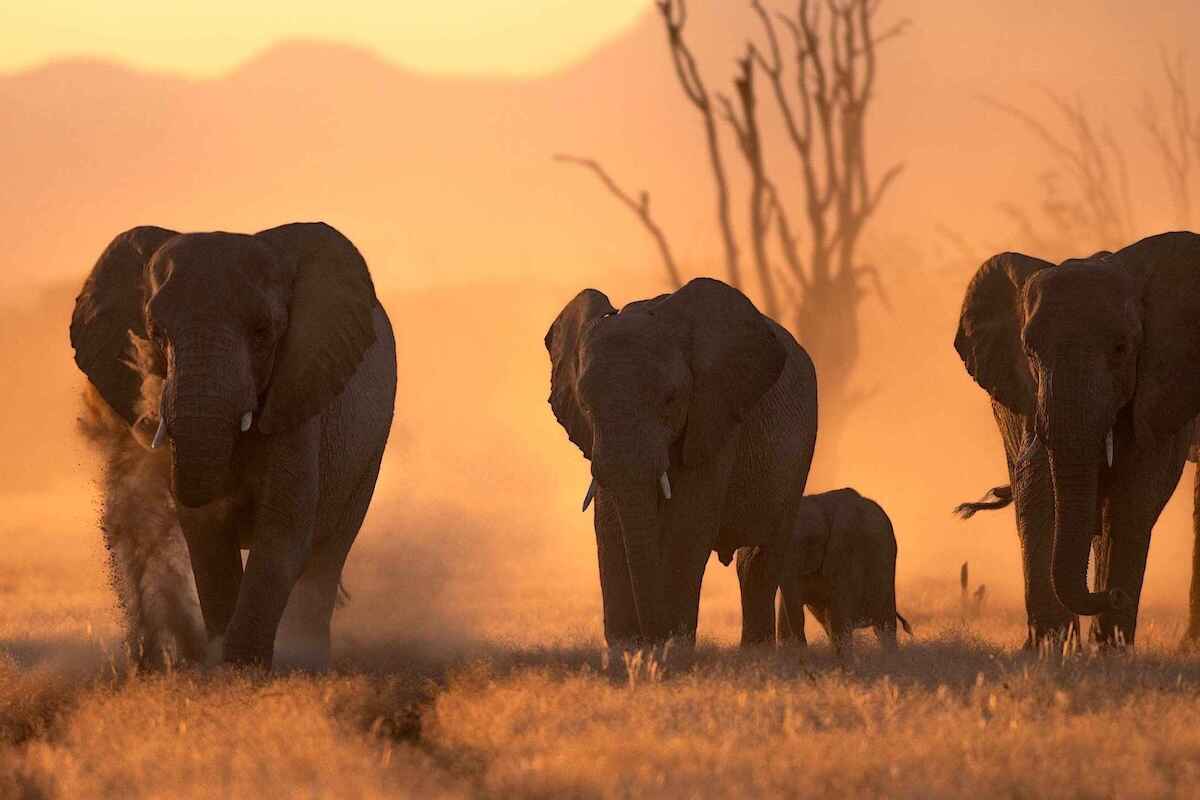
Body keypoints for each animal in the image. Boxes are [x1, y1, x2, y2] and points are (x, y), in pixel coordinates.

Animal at [71, 222, 397, 669]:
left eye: (263, 333)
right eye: (155, 335)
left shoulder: (300, 392)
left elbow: (281, 535)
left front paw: (244, 673)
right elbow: (206, 536)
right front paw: (225, 671)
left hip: (368, 454)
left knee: (326, 557)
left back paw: (308, 663)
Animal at [546, 278, 818, 649]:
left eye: (671, 399)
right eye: (585, 404)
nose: (650, 639)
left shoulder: (715, 413)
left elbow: (688, 524)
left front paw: (671, 645)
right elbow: (610, 524)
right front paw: (626, 648)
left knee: (761, 562)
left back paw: (757, 653)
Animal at [954, 232, 1200, 647]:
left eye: (1121, 348)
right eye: (1030, 351)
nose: (1114, 595)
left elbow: (1133, 496)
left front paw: (1111, 650)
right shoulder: (1030, 395)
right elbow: (1038, 488)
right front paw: (1049, 649)